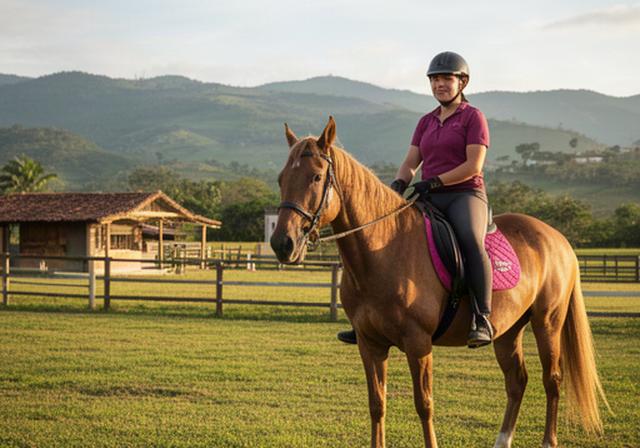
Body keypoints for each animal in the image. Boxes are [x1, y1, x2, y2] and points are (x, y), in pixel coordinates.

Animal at [270, 117, 608, 448]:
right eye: (281, 178)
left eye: (316, 177)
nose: (283, 244)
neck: (385, 251)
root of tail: (557, 239)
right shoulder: (370, 344)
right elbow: (377, 404)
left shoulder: (418, 343)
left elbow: (424, 404)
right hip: (508, 330)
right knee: (516, 380)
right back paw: (502, 440)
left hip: (547, 322)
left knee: (552, 380)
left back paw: (548, 441)